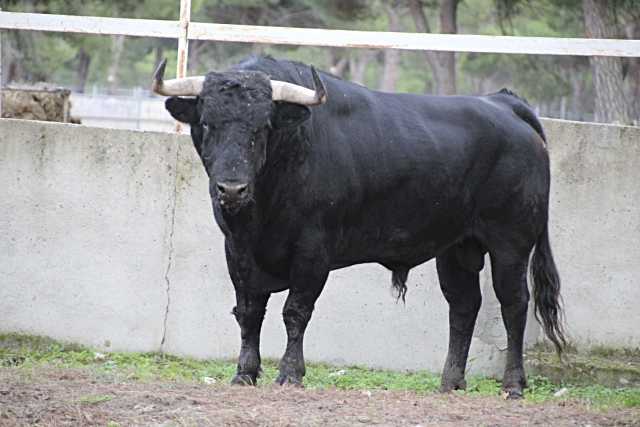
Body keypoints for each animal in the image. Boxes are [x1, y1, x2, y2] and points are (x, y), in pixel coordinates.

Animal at [156, 55, 564, 400]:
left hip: (511, 242)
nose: (231, 189)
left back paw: (513, 385)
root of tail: (503, 104)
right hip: (458, 248)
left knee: (514, 304)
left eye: (264, 126)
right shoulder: (237, 250)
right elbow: (249, 312)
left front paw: (290, 374)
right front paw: (244, 373)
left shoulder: (313, 251)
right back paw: (450, 382)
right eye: (206, 123)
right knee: (464, 307)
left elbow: (295, 311)